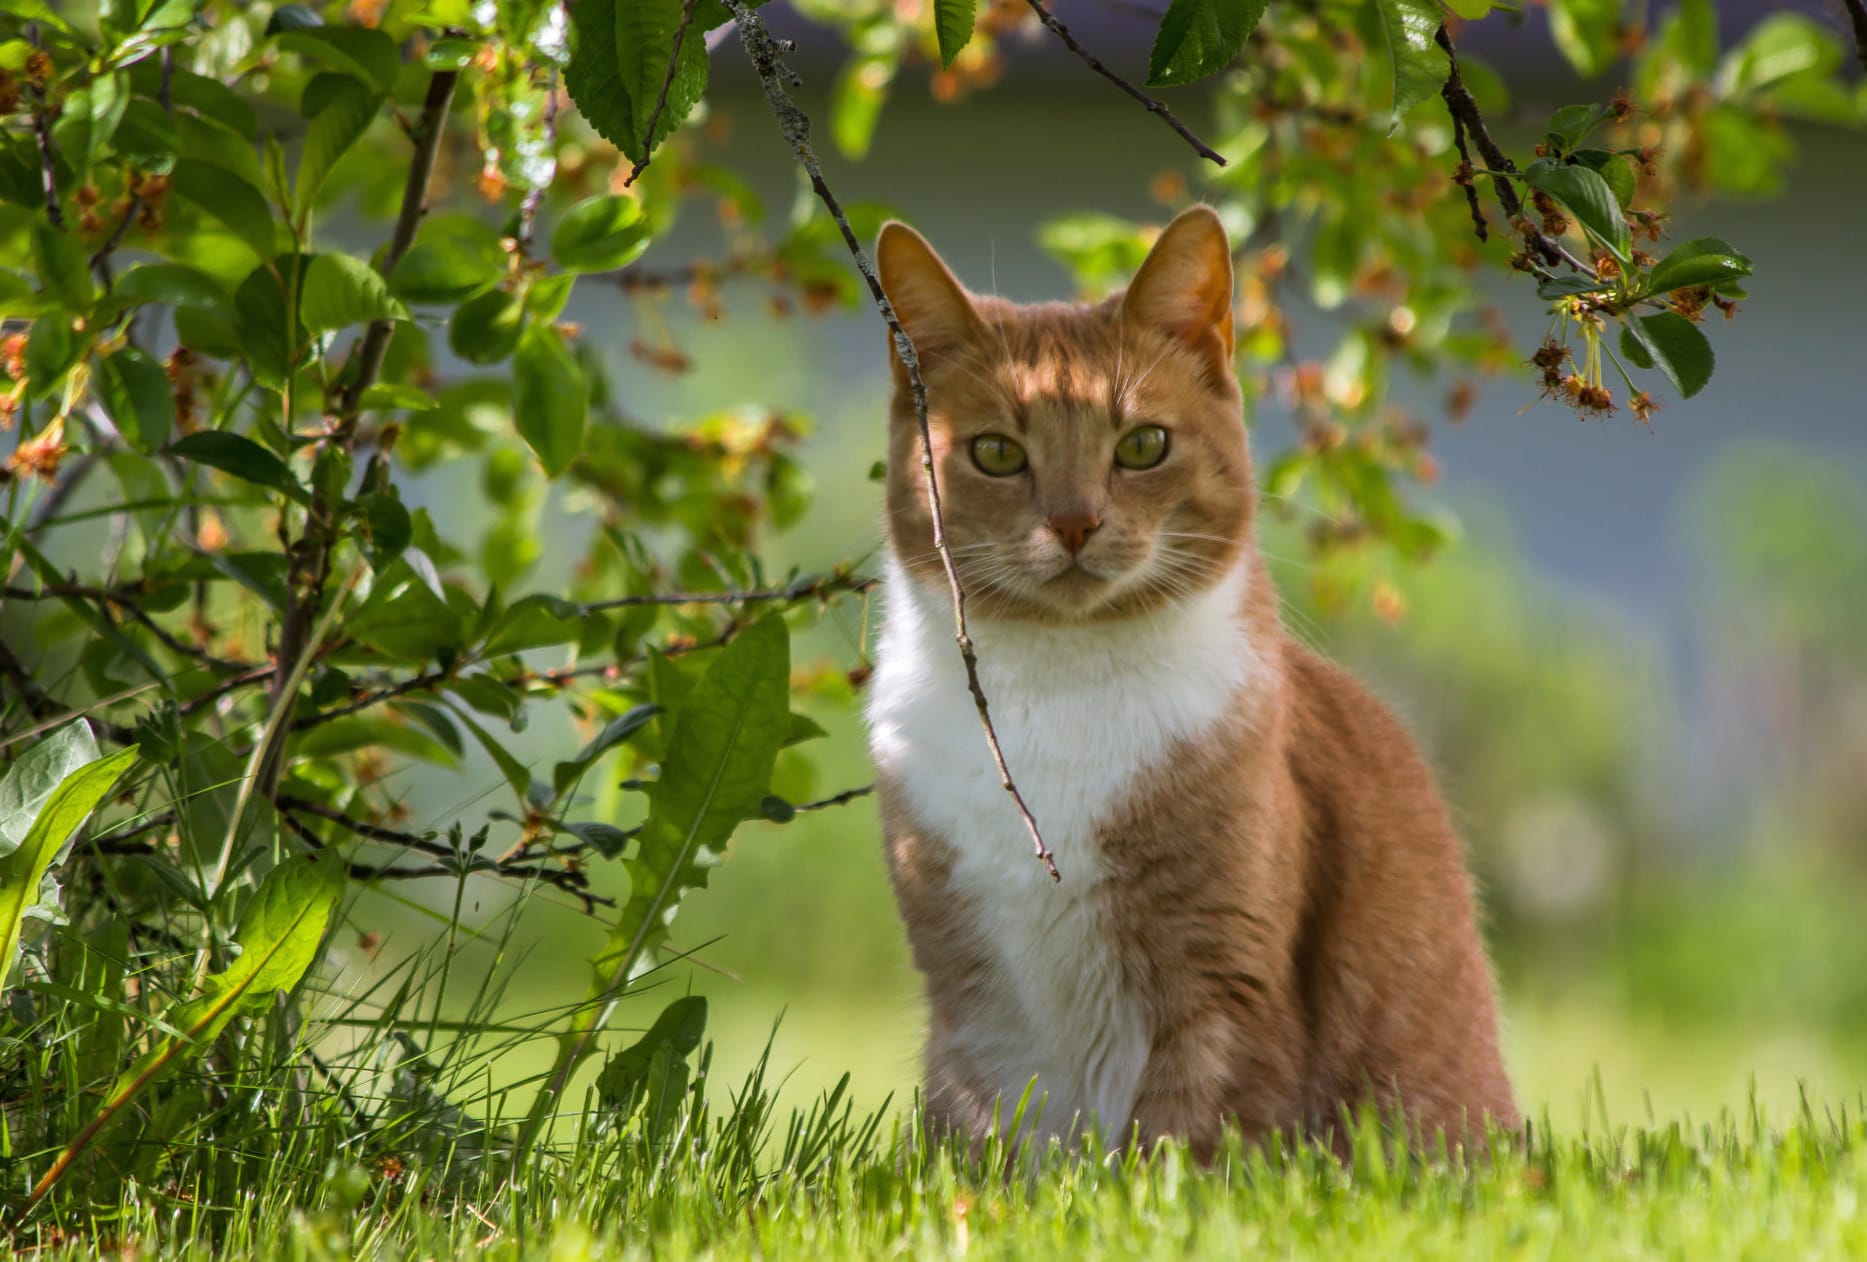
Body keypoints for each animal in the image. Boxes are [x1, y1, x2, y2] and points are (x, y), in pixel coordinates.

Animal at [858, 202, 1516, 1157]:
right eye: (995, 453)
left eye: (1142, 445)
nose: (1073, 522)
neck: (1058, 690)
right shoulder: (971, 1006)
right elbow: (992, 1139)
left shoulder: (1222, 985)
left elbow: (1184, 1139)